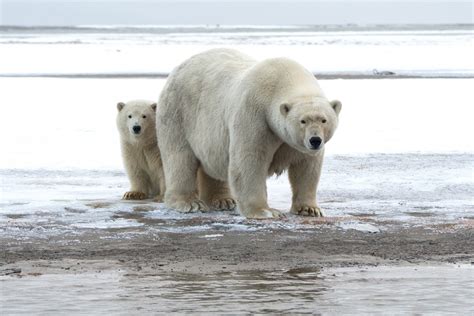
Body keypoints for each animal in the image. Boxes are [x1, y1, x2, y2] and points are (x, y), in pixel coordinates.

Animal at [156, 48, 340, 218]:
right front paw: (265, 211)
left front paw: (310, 209)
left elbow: (307, 168)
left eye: (323, 120)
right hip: (178, 114)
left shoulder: (295, 144)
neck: (283, 79)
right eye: (303, 121)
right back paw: (189, 203)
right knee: (180, 158)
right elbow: (250, 160)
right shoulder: (255, 114)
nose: (315, 140)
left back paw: (223, 200)